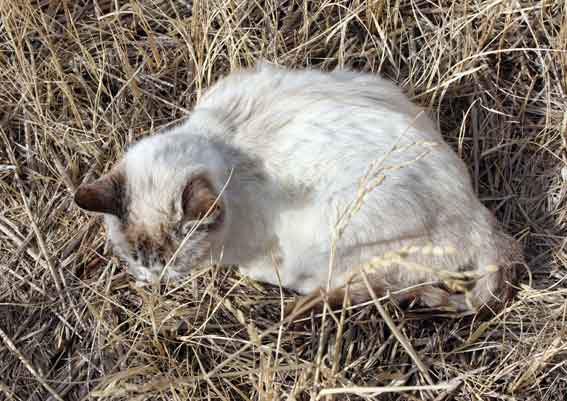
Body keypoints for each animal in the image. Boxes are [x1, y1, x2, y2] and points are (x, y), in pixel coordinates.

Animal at [73, 63, 524, 316]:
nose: (153, 278)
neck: (227, 146)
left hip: (329, 236)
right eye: (136, 258)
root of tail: (482, 225)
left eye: (173, 261)